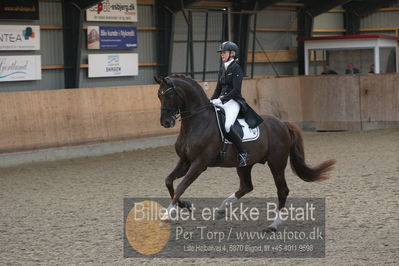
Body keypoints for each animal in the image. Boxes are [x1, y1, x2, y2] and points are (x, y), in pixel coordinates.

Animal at [155, 75, 336, 231]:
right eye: (158, 95)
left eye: (169, 94)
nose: (165, 122)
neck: (197, 122)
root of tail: (282, 123)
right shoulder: (185, 161)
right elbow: (168, 181)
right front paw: (184, 205)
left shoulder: (199, 164)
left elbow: (181, 186)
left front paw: (168, 213)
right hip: (244, 165)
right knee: (246, 186)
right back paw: (221, 209)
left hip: (276, 163)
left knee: (282, 190)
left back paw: (273, 225)